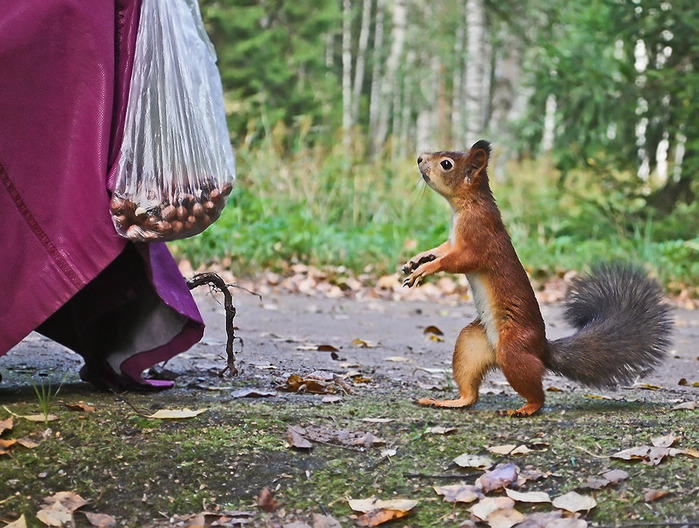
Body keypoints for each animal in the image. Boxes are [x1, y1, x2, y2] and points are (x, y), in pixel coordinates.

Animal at [404, 139, 672, 416]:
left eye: (446, 164)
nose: (419, 159)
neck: (466, 206)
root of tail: (542, 349)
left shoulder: (479, 238)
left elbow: (457, 261)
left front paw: (425, 269)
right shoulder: (452, 242)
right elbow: (440, 250)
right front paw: (417, 259)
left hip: (513, 351)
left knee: (537, 393)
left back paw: (526, 408)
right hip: (470, 346)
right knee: (470, 392)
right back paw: (449, 401)